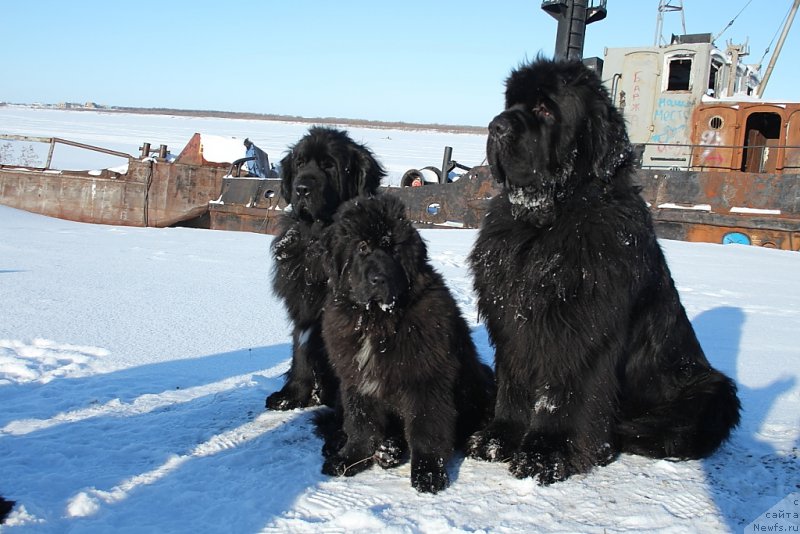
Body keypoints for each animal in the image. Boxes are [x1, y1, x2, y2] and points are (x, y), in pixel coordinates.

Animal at [264, 127, 386, 412]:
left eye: (329, 165)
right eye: (299, 163)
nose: (302, 188)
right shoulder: (303, 307)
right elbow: (300, 350)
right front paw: (291, 395)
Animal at [318, 196, 494, 494]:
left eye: (393, 249)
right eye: (362, 247)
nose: (379, 279)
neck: (377, 320)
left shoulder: (426, 379)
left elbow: (426, 427)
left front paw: (428, 473)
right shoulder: (355, 379)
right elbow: (360, 423)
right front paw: (351, 459)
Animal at [466, 58, 740, 486]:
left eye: (545, 109)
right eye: (512, 103)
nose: (496, 126)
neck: (545, 226)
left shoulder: (581, 331)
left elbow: (563, 396)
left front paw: (546, 454)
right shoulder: (512, 323)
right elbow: (514, 384)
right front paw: (498, 438)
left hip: (712, 391)